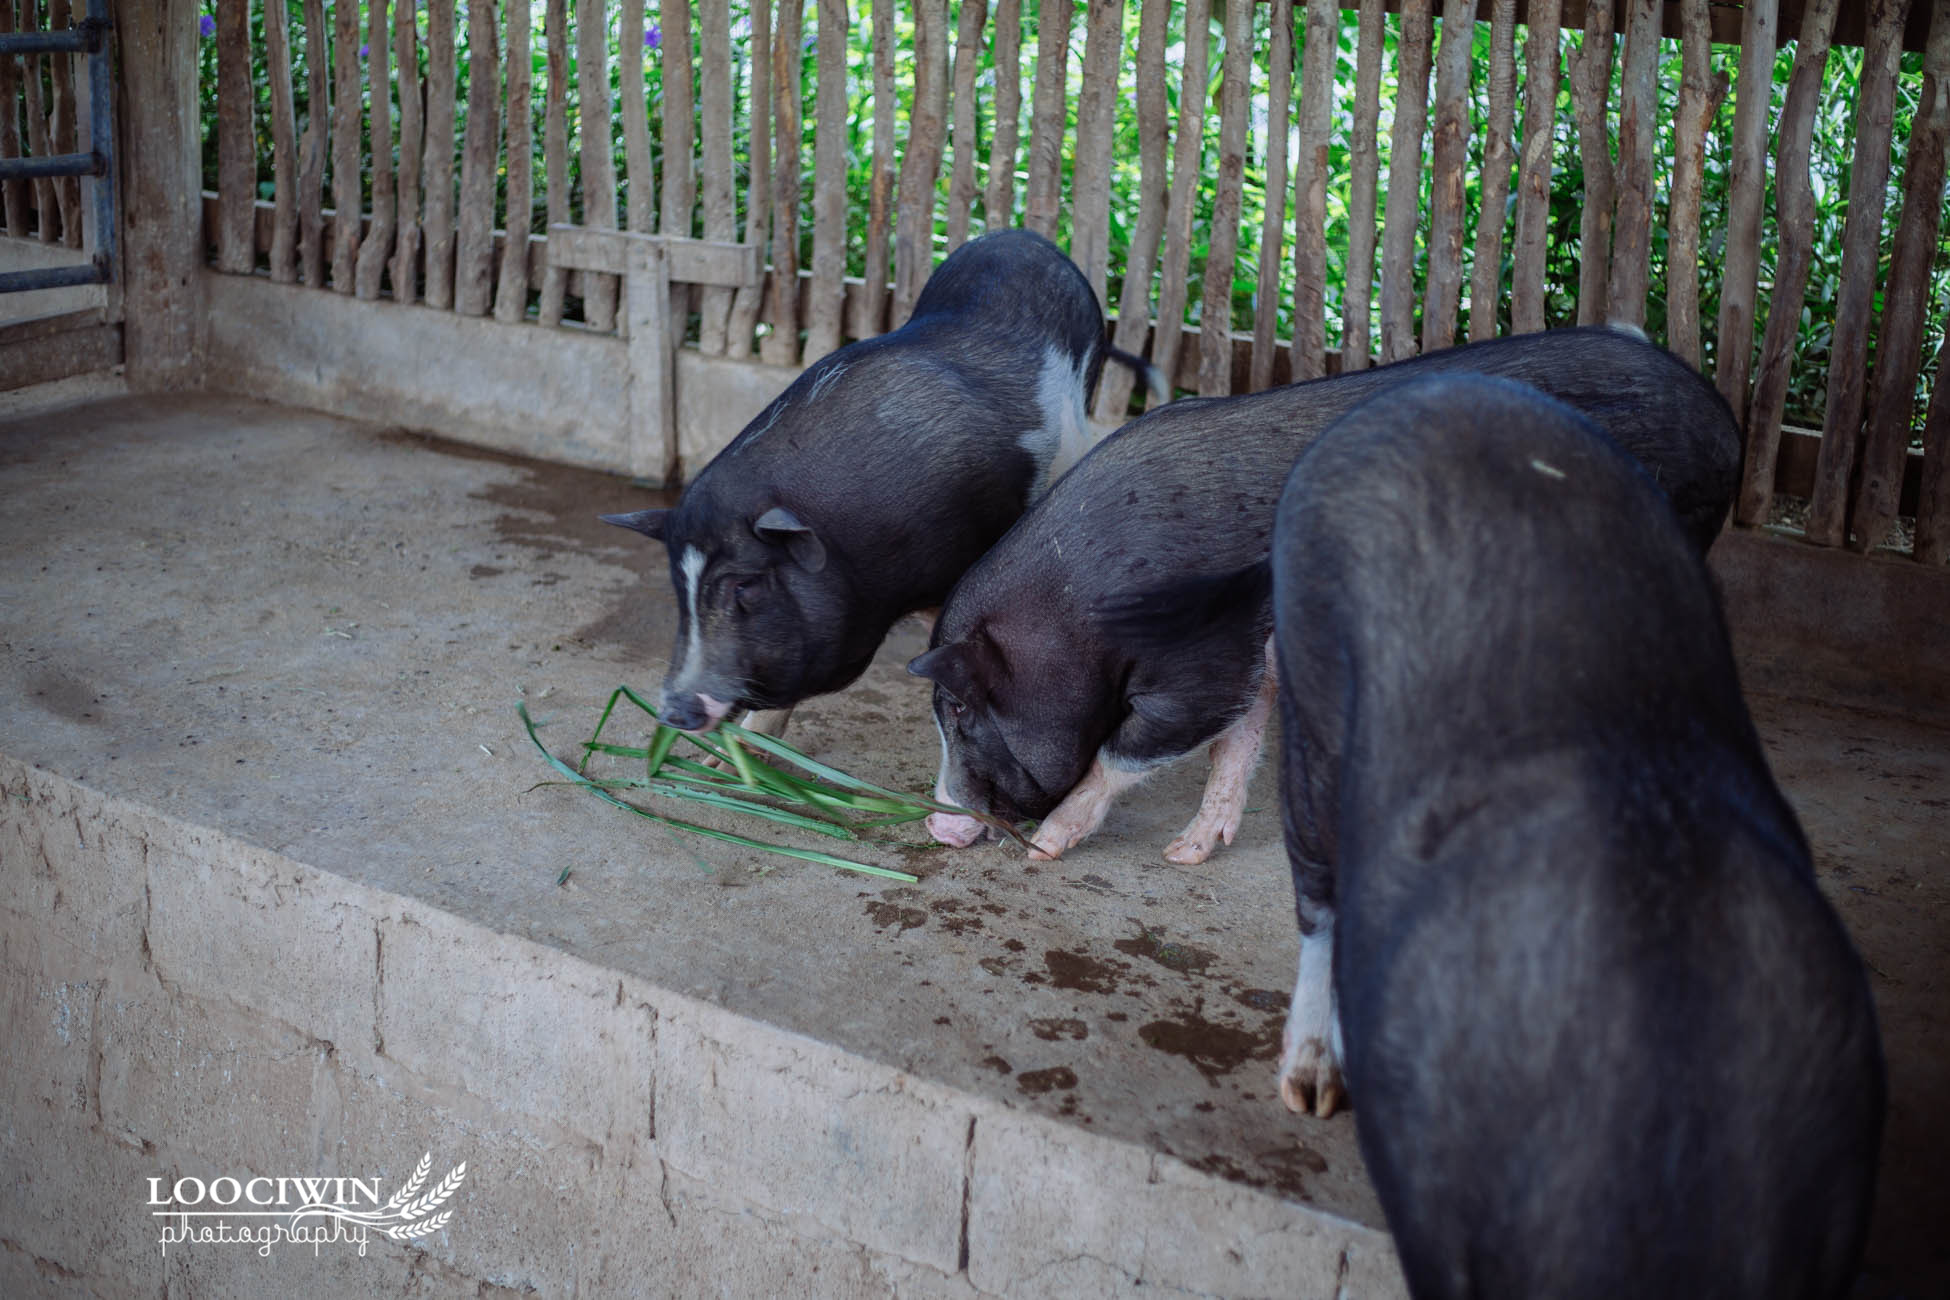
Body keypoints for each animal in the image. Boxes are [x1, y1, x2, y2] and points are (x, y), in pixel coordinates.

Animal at [912, 323, 1739, 857]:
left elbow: (1134, 749)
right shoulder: (1251, 640)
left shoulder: (1197, 662)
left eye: (960, 708)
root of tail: (1723, 416)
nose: (935, 823)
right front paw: (1187, 853)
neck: (1075, 611)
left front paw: (1050, 848)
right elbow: (1242, 734)